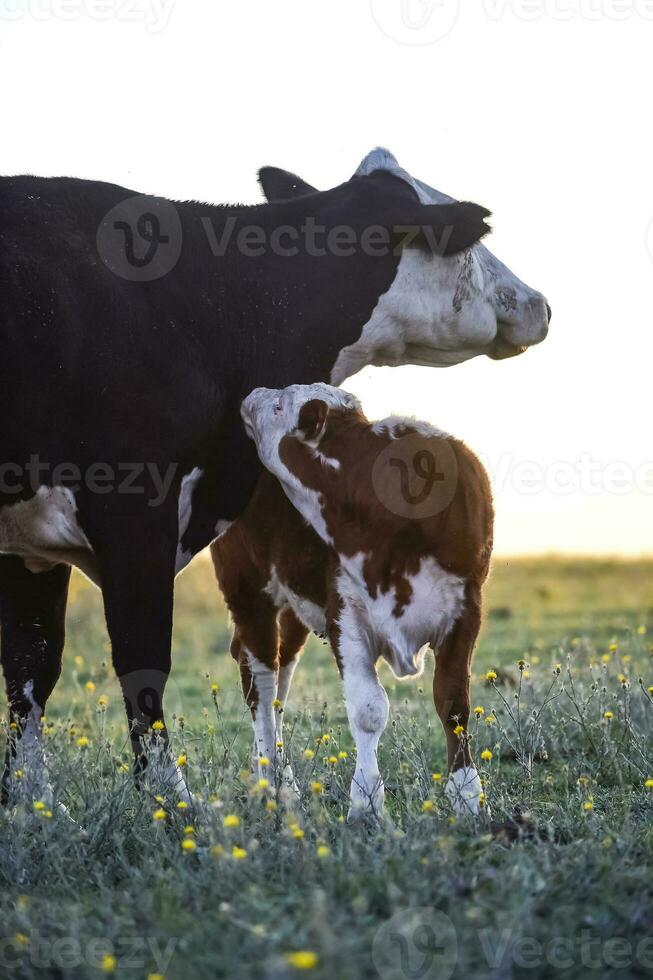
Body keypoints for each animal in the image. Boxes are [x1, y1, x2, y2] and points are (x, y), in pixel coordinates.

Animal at [211, 382, 492, 820]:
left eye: (279, 406)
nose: (252, 394)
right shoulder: (345, 613)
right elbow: (368, 710)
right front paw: (366, 804)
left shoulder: (465, 610)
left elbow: (454, 702)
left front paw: (467, 795)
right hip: (247, 593)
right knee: (260, 683)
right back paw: (269, 782)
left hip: (292, 607)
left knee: (279, 677)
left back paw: (283, 783)